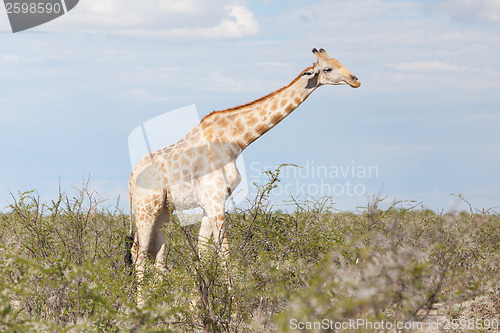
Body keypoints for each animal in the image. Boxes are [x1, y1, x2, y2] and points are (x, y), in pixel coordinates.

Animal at [126, 48, 360, 304]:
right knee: (139, 253)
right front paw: (234, 306)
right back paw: (140, 306)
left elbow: (203, 252)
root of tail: (130, 179)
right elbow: (224, 252)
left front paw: (199, 305)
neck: (235, 141)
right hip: (146, 209)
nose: (355, 80)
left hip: (163, 212)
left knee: (156, 252)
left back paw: (157, 303)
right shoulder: (215, 201)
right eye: (328, 68)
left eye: (338, 61)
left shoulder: (211, 203)